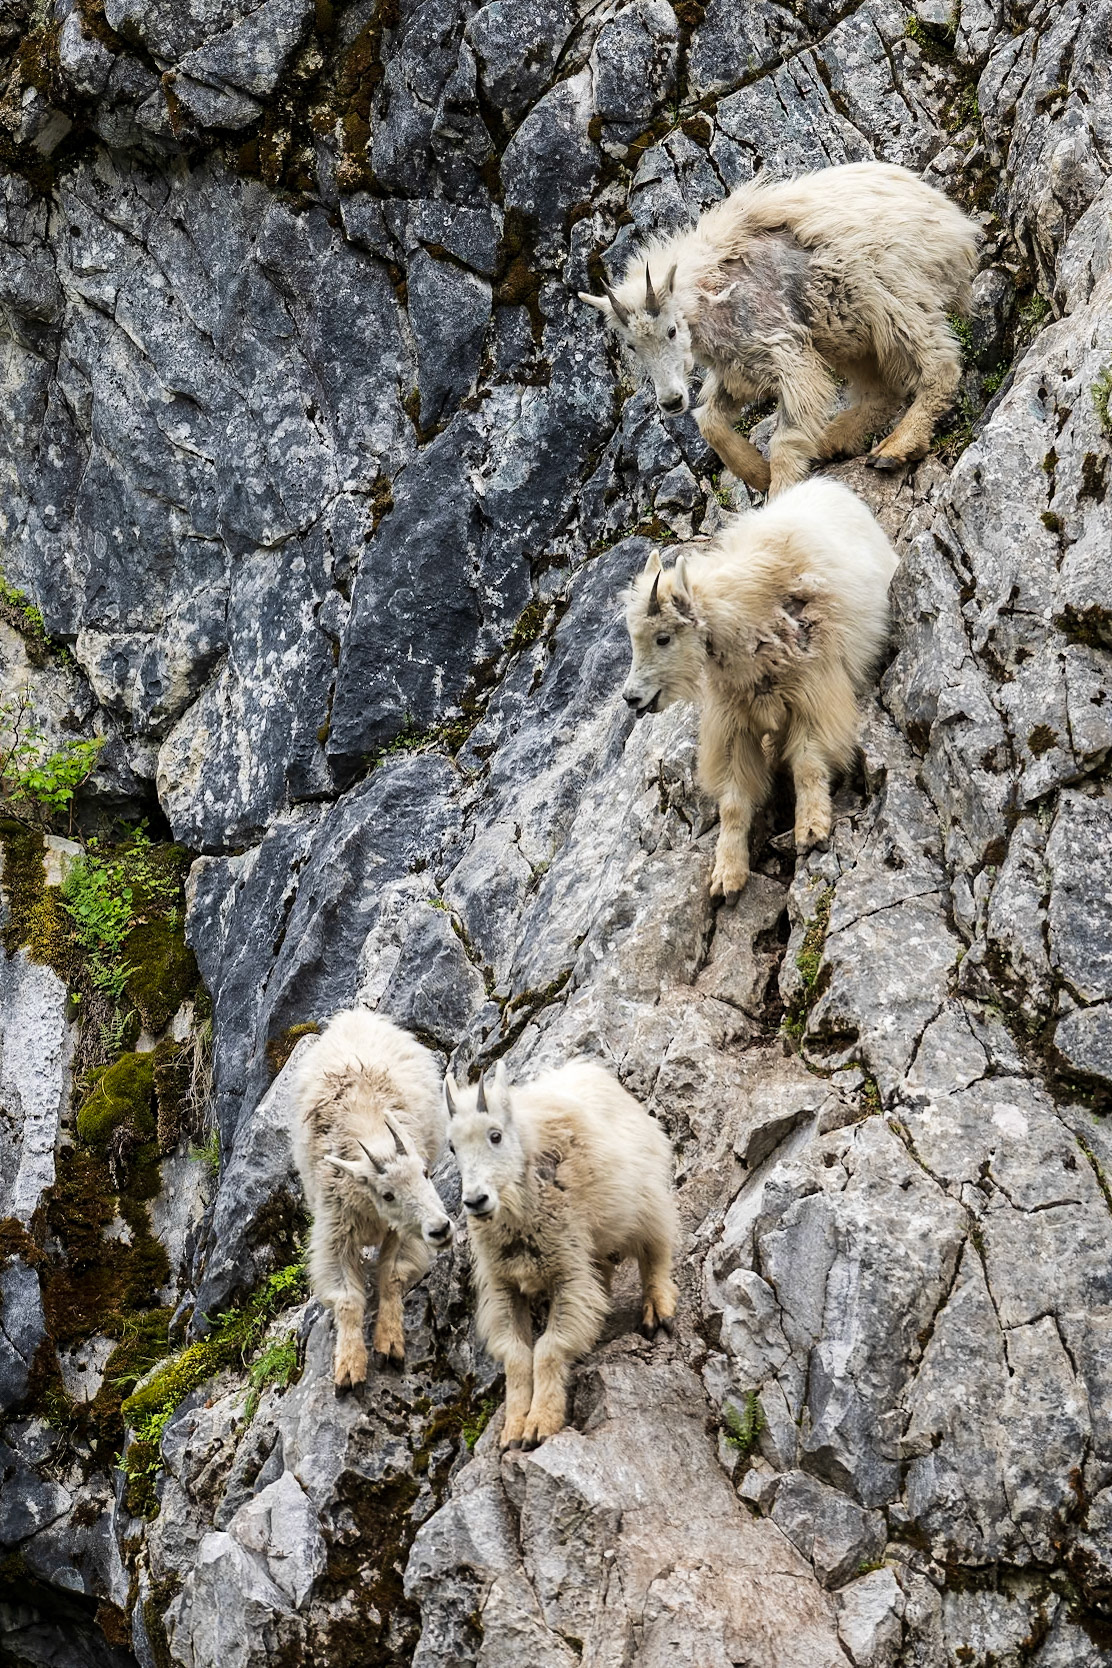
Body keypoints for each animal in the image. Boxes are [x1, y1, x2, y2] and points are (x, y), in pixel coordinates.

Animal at [292, 1008, 453, 1389]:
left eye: (425, 1173)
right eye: (387, 1194)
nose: (441, 1229)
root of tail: (350, 1016)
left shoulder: (404, 1233)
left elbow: (392, 1276)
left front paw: (389, 1343)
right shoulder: (335, 1234)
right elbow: (348, 1299)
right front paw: (349, 1367)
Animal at [444, 1060, 679, 1450]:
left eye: (496, 1135)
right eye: (451, 1147)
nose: (476, 1201)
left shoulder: (568, 1275)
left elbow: (548, 1349)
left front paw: (539, 1425)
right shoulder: (504, 1286)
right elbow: (517, 1357)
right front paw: (512, 1431)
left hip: (645, 1201)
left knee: (656, 1249)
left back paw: (657, 1310)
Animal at [580, 161, 979, 497]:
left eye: (672, 330)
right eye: (631, 346)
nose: (671, 401)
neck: (710, 296)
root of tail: (956, 223)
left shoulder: (785, 351)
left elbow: (785, 437)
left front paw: (779, 495)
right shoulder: (740, 367)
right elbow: (709, 420)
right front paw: (758, 474)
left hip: (899, 298)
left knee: (938, 366)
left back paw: (895, 447)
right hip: (845, 331)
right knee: (880, 392)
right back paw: (831, 442)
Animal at [622, 477, 898, 900]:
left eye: (664, 638)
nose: (632, 697)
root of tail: (831, 486)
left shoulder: (814, 694)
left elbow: (807, 764)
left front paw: (811, 830)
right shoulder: (734, 724)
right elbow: (734, 803)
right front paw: (726, 875)